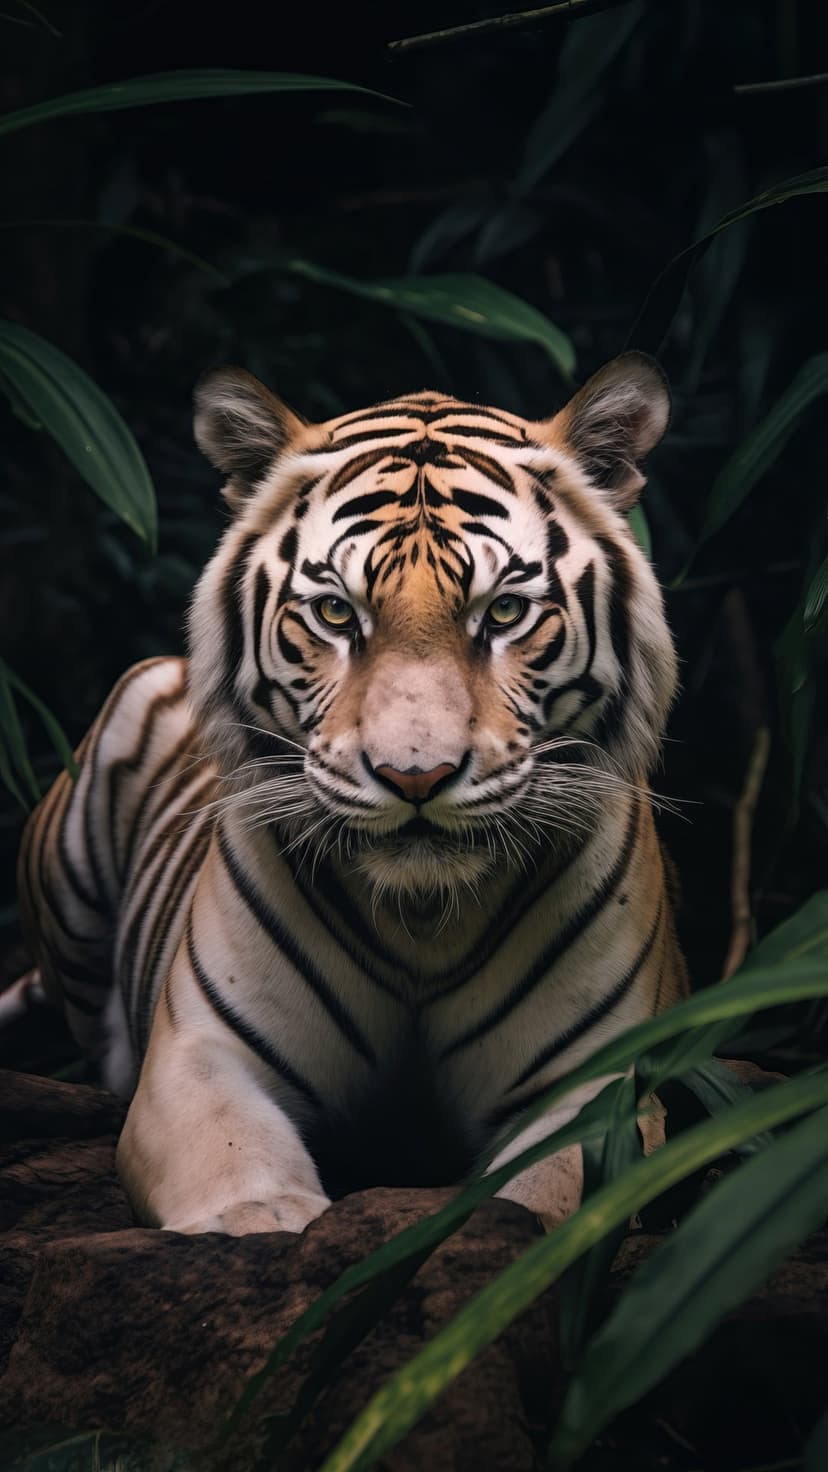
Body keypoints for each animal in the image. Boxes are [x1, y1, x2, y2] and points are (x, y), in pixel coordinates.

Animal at [14, 352, 687, 1235]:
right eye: (336, 612)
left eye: (505, 610)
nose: (415, 776)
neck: (424, 923)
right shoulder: (201, 1052)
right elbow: (240, 1182)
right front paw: (267, 1223)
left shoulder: (598, 1085)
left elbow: (541, 1203)